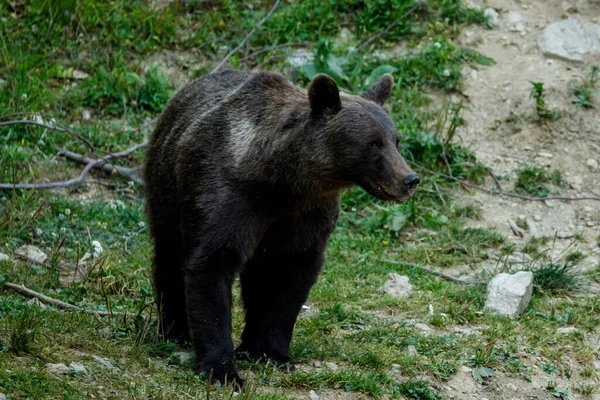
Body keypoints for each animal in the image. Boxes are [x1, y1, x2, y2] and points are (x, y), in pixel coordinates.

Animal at [143, 71, 420, 388]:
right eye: (373, 143)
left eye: (395, 139)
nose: (409, 179)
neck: (285, 182)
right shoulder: (230, 198)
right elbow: (212, 264)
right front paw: (222, 370)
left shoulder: (305, 216)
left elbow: (289, 278)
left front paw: (272, 353)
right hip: (166, 187)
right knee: (170, 254)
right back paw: (176, 330)